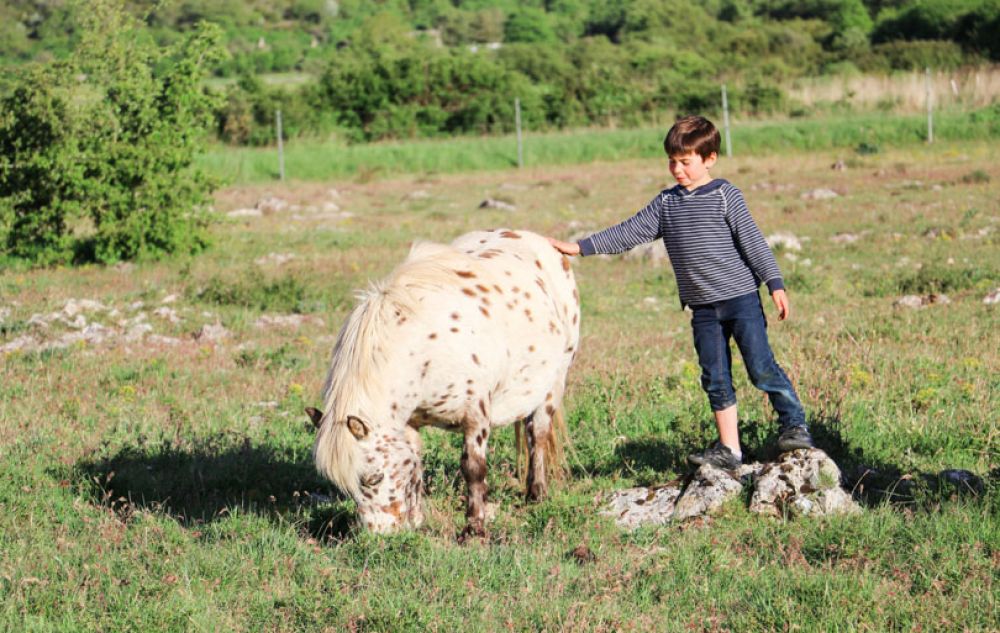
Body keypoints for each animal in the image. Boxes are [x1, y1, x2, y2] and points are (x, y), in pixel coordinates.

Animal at [308, 227, 584, 532]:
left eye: (373, 478)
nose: (379, 535)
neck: (424, 346)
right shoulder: (409, 423)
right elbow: (414, 466)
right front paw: (417, 521)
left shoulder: (476, 415)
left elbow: (474, 469)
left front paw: (474, 529)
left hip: (553, 384)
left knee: (537, 435)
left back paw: (536, 494)